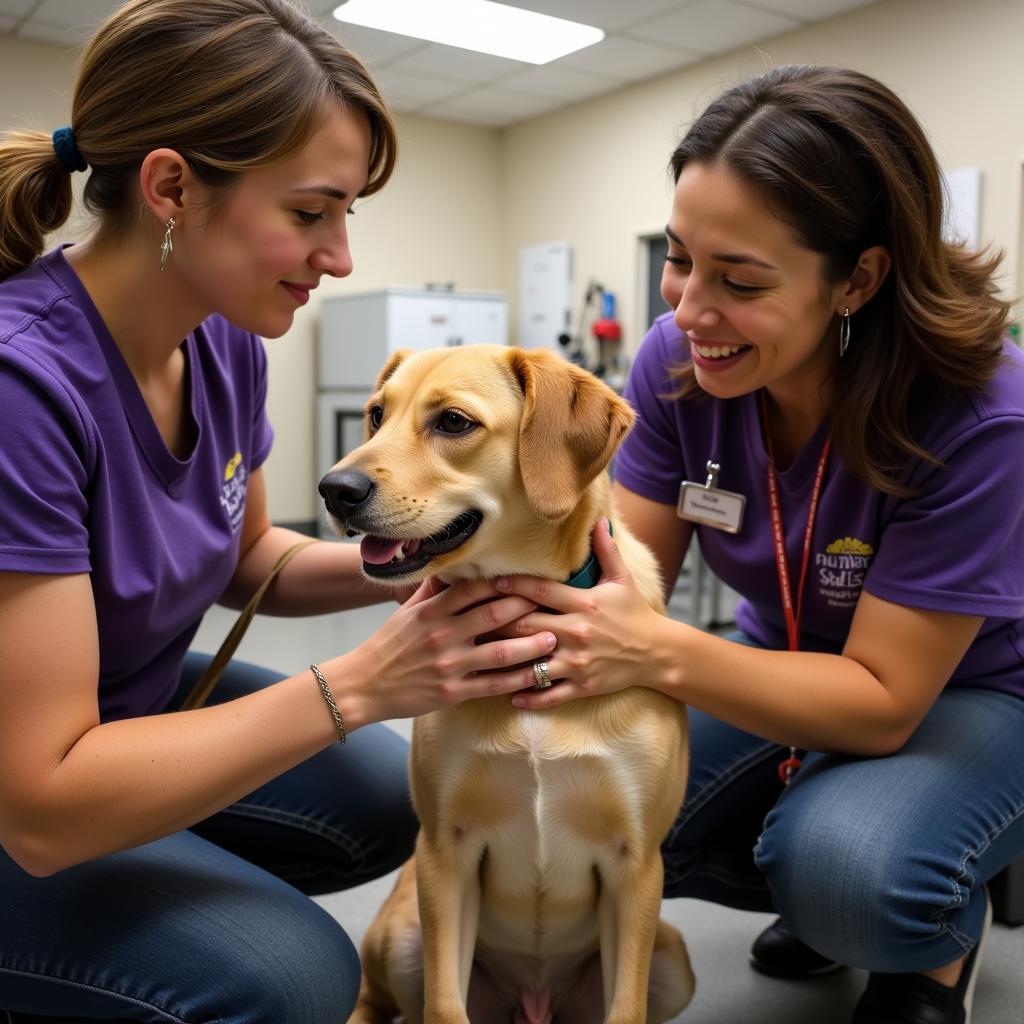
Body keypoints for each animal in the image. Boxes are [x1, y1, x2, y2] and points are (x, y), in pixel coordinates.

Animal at [315, 346, 692, 1024]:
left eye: (453, 422)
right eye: (376, 414)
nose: (334, 489)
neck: (528, 626)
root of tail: (533, 1003)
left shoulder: (637, 864)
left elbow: (627, 1006)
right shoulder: (445, 851)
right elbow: (443, 1005)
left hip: (674, 963)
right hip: (401, 936)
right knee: (373, 995)